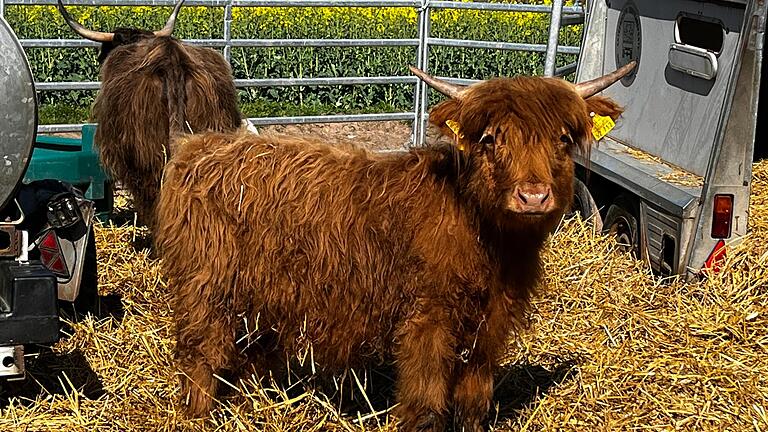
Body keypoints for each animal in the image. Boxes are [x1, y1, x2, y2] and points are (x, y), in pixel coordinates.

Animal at [156, 62, 636, 430]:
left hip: (260, 298)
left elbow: (474, 399)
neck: (486, 239)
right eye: (490, 139)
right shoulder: (427, 320)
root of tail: (199, 146)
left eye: (562, 138)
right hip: (206, 286)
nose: (533, 196)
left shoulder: (491, 326)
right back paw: (198, 416)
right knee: (200, 355)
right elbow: (425, 403)